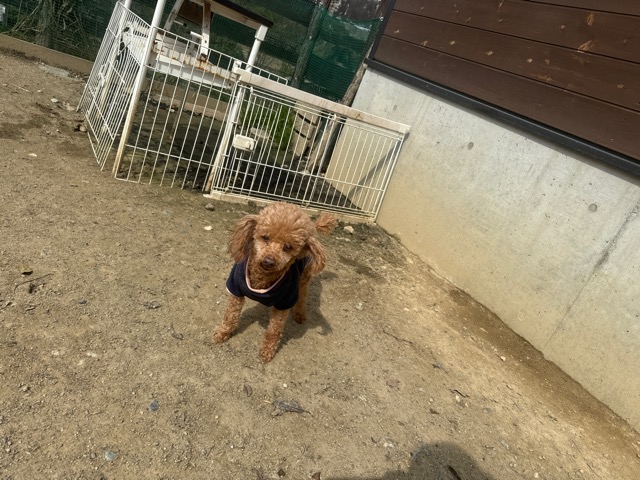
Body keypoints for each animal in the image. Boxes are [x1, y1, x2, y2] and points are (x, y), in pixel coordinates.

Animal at [213, 202, 336, 362]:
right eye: (265, 237)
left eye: (288, 247)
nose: (269, 261)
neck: (262, 278)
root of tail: (313, 228)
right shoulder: (236, 289)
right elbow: (230, 316)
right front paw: (222, 333)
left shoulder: (285, 302)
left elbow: (274, 330)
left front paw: (267, 352)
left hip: (303, 280)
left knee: (303, 296)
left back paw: (300, 315)